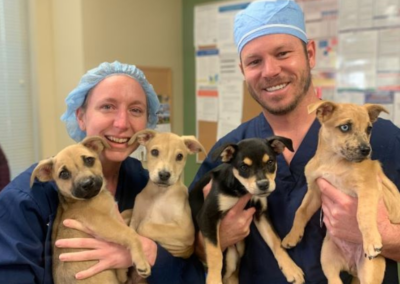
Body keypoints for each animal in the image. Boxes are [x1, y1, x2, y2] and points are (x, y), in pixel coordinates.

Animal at [30, 136, 151, 284]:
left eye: (89, 160)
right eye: (64, 174)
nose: (87, 184)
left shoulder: (114, 215)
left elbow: (127, 212)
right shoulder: (102, 222)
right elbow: (130, 234)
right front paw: (140, 262)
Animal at [125, 130, 205, 282]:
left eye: (179, 156)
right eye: (154, 152)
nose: (164, 175)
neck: (159, 194)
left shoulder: (185, 230)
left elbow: (146, 226)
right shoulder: (135, 218)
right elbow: (132, 228)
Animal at [189, 136, 304, 284]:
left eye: (270, 162)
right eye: (244, 167)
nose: (263, 185)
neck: (241, 190)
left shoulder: (261, 214)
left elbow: (276, 241)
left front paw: (291, 269)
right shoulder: (207, 216)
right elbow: (215, 254)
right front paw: (213, 280)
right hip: (230, 256)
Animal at [282, 101, 400, 284]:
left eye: (369, 129)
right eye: (345, 127)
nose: (366, 150)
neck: (333, 162)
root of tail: (353, 268)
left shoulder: (368, 188)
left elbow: (363, 214)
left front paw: (371, 241)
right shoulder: (315, 191)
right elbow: (300, 212)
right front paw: (292, 236)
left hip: (370, 270)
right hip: (327, 256)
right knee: (333, 279)